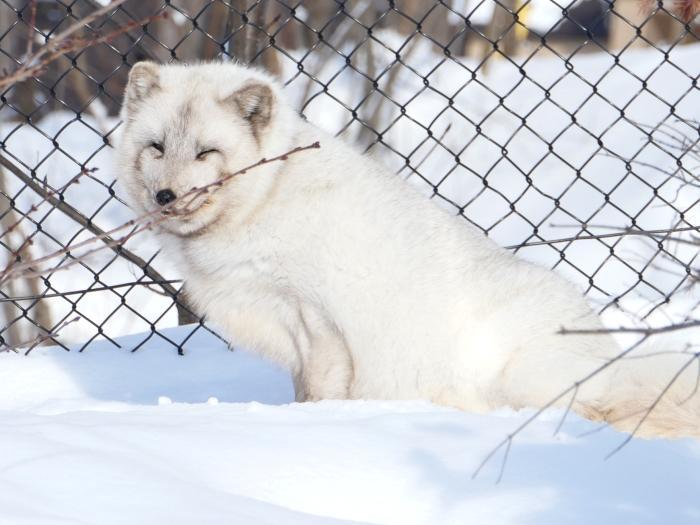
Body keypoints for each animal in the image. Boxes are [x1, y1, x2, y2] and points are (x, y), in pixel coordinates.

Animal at [116, 61, 700, 438]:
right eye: (156, 147)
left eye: (206, 152)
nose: (165, 197)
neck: (268, 192)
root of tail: (606, 356)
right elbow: (302, 388)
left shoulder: (319, 319)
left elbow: (322, 390)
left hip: (523, 379)